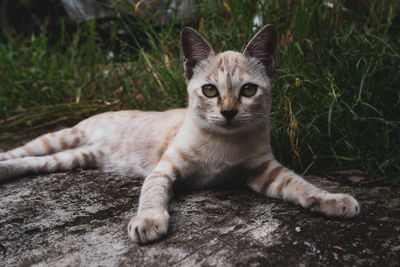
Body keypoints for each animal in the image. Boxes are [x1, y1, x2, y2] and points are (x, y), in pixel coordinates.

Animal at [0, 25, 360, 245]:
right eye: (210, 90)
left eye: (248, 90)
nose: (228, 112)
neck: (224, 144)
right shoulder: (164, 170)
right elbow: (152, 196)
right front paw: (148, 221)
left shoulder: (263, 171)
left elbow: (300, 184)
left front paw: (332, 200)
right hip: (62, 138)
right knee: (22, 151)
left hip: (74, 158)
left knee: (34, 163)